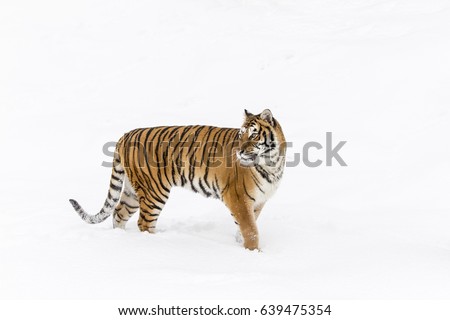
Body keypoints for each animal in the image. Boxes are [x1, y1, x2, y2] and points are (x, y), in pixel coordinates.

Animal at [68, 109, 286, 251]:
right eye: (241, 135)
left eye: (253, 135)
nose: (239, 151)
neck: (272, 161)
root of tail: (125, 135)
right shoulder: (238, 198)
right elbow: (251, 230)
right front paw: (253, 253)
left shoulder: (257, 202)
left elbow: (244, 228)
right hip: (154, 191)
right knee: (144, 222)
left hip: (132, 191)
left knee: (119, 212)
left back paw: (121, 238)